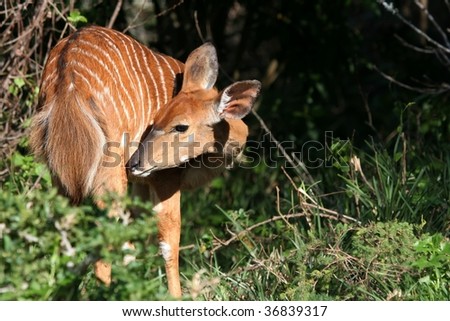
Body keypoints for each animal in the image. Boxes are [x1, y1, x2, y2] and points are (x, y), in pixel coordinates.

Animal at [29, 26, 260, 296]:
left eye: (179, 125)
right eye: (157, 121)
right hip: (108, 173)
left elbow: (133, 241)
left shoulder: (140, 184)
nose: (135, 163)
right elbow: (169, 241)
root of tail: (68, 78)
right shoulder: (164, 177)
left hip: (61, 174)